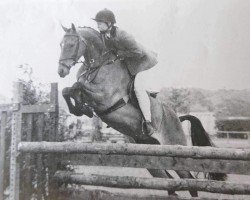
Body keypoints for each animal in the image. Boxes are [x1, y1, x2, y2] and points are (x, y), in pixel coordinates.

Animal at [57, 23, 226, 197]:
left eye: (71, 45)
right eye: (61, 45)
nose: (61, 71)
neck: (99, 64)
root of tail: (177, 118)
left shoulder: (104, 96)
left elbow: (78, 86)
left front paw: (82, 108)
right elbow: (68, 90)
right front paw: (80, 109)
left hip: (176, 151)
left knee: (190, 182)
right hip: (152, 157)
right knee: (170, 182)